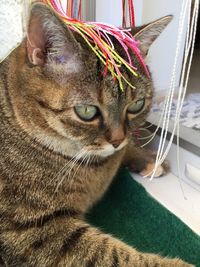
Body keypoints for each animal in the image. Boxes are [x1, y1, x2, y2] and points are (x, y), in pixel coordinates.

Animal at [0, 2, 193, 267]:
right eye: (87, 111)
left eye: (136, 105)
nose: (117, 140)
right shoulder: (32, 232)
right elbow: (112, 255)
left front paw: (145, 157)